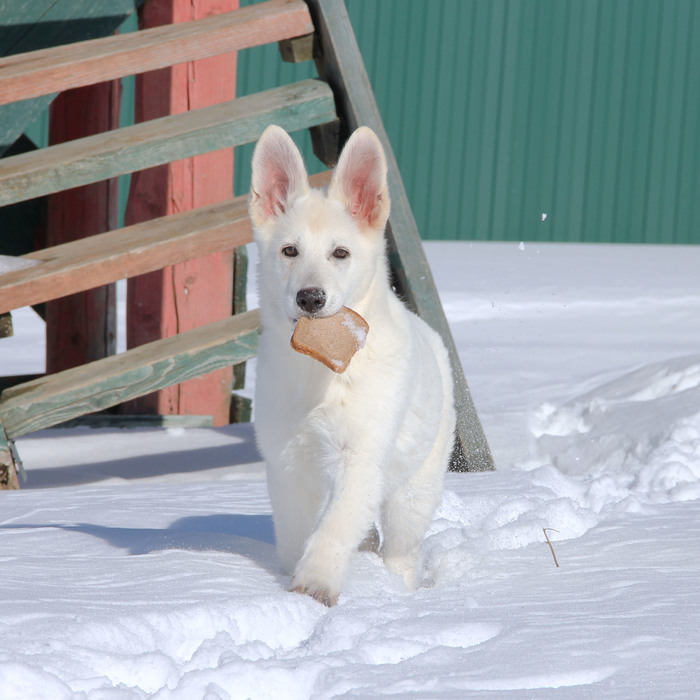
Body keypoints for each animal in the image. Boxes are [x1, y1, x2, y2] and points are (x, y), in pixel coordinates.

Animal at [249, 126, 456, 608]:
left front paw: (316, 583)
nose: (310, 298)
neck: (319, 373)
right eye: (289, 250)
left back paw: (394, 590)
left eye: (340, 253)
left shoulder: (359, 458)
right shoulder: (286, 464)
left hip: (413, 492)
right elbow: (295, 536)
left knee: (399, 551)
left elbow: (335, 526)